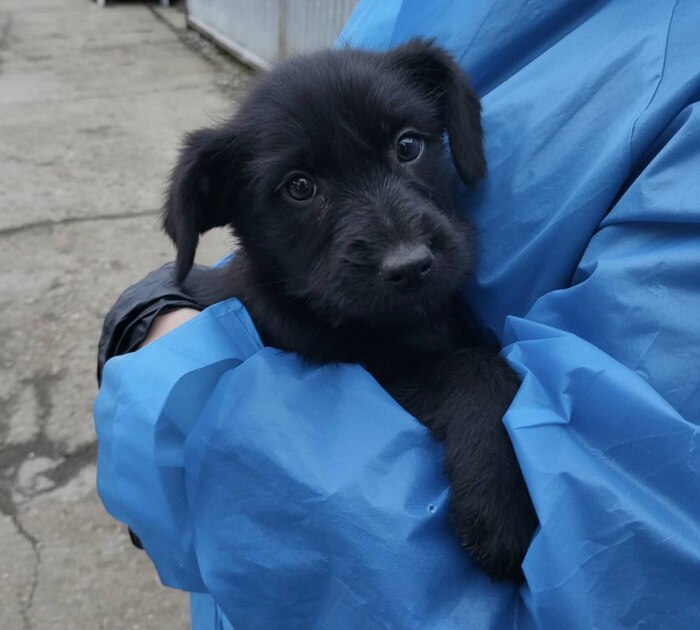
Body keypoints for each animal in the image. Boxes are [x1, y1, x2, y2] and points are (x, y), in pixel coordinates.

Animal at [163, 38, 537, 582]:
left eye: (408, 146)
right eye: (299, 186)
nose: (411, 266)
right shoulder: (365, 370)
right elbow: (471, 369)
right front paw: (502, 503)